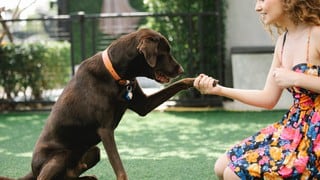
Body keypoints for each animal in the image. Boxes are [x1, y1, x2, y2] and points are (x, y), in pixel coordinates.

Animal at [2, 28, 196, 179]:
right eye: (165, 52)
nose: (181, 69)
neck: (117, 74)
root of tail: (32, 170)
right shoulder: (105, 129)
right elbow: (119, 168)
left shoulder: (144, 105)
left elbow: (179, 84)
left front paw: (195, 81)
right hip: (60, 156)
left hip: (94, 151)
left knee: (71, 175)